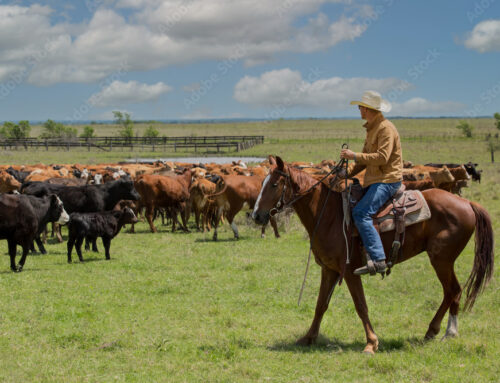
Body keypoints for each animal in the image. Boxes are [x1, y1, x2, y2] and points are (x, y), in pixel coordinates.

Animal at [252, 158, 494, 356]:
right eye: (262, 183)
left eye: (274, 185)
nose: (256, 215)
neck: (327, 214)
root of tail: (467, 203)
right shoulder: (329, 269)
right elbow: (321, 304)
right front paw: (309, 337)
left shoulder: (350, 271)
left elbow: (361, 306)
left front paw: (371, 343)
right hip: (442, 260)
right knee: (450, 292)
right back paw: (433, 331)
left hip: (441, 259)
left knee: (453, 290)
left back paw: (448, 332)